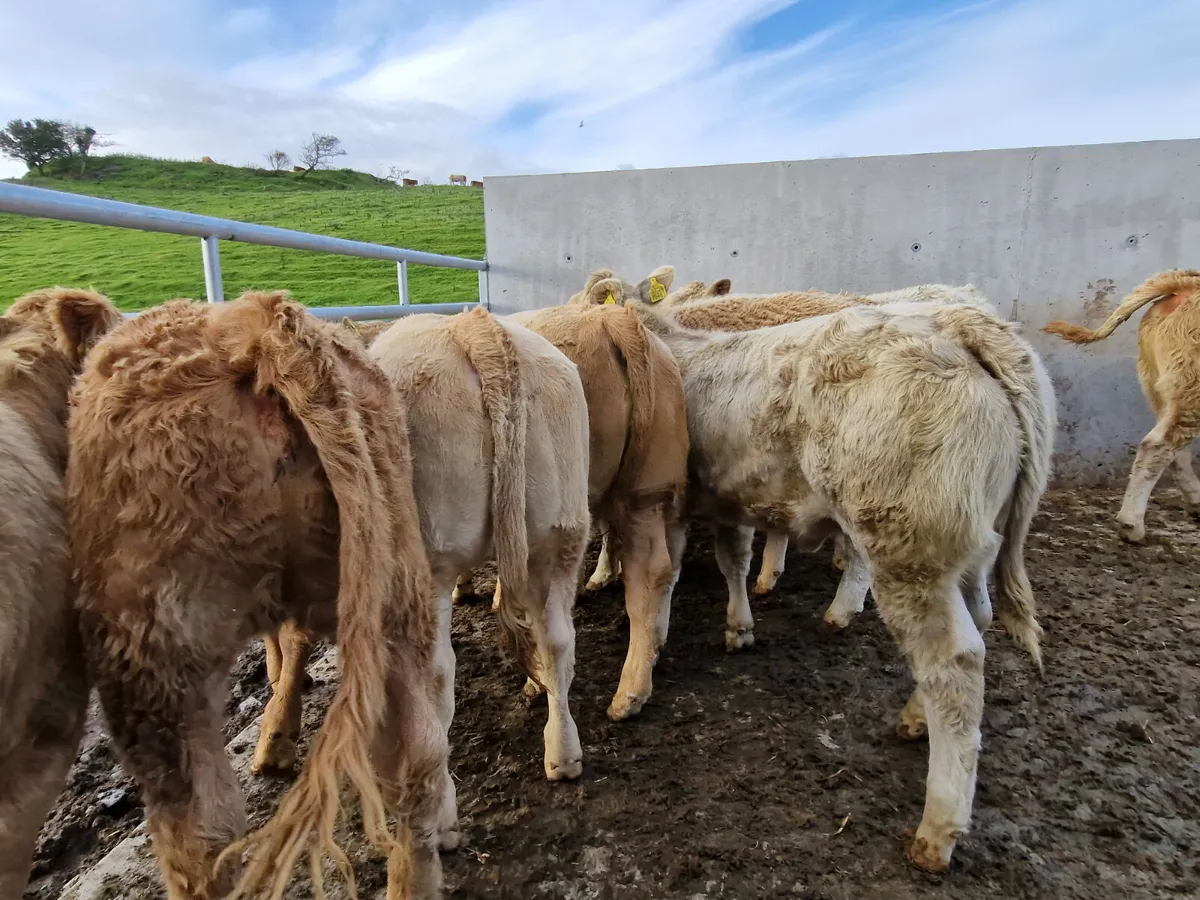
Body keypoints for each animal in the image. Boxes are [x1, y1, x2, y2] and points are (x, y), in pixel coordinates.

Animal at [68, 290, 448, 900]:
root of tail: (257, 324)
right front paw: (278, 726)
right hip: (395, 587)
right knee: (418, 758)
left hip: (154, 647)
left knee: (202, 830)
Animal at [258, 312, 590, 854]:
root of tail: (477, 328)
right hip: (559, 530)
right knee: (559, 640)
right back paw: (562, 755)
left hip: (427, 557)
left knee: (436, 670)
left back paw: (441, 816)